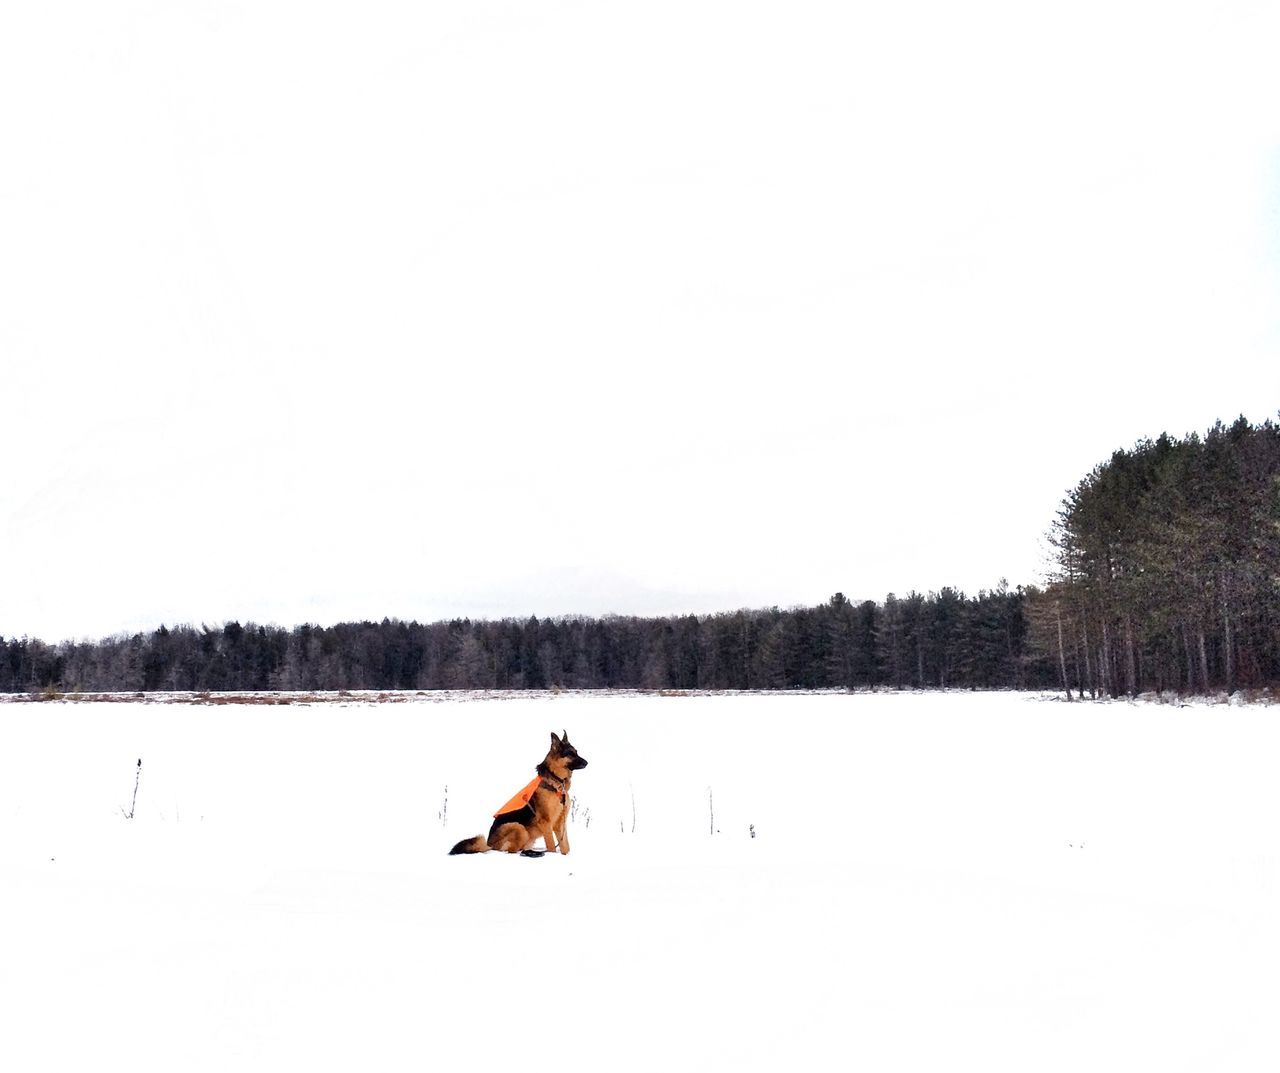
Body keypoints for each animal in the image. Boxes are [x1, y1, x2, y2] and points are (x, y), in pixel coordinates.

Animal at [450, 732, 588, 855]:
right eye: (570, 754)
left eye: (576, 752)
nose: (587, 762)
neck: (555, 780)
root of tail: (489, 844)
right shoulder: (546, 822)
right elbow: (551, 846)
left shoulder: (560, 824)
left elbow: (565, 846)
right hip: (519, 828)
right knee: (510, 851)